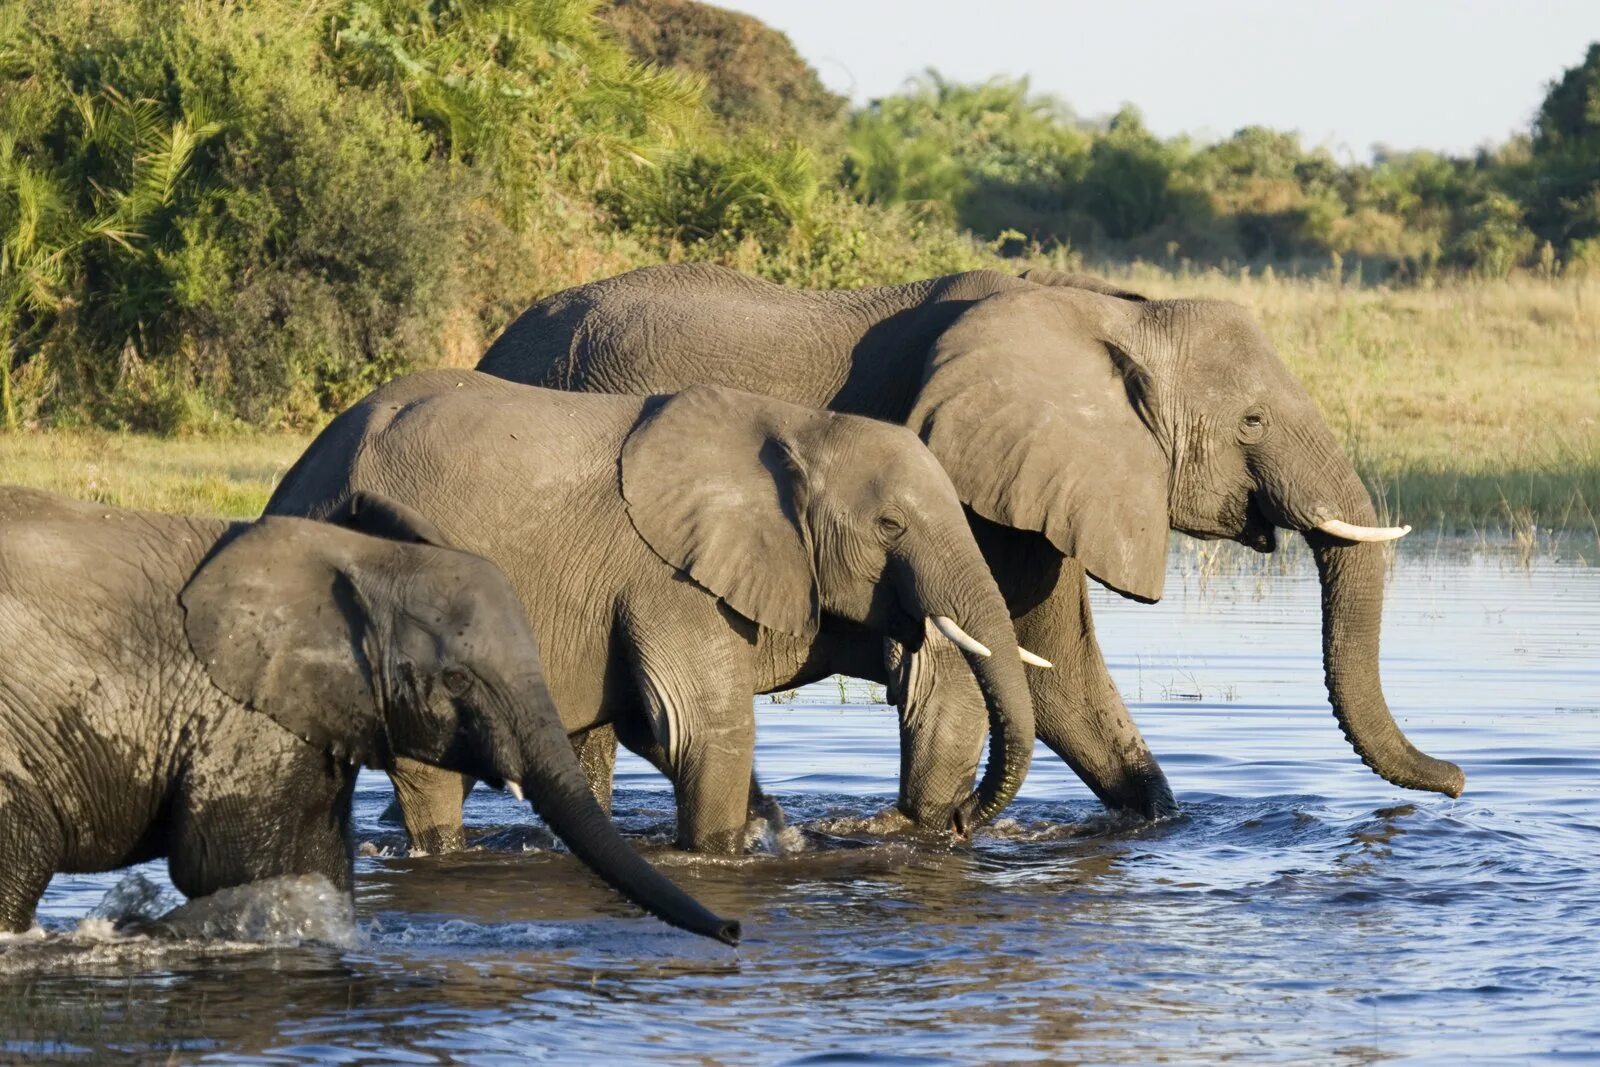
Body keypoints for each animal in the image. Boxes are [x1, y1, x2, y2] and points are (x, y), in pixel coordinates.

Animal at [0, 483, 736, 940]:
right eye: (456, 678)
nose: (732, 930)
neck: (357, 561)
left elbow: (319, 861)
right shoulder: (241, 715)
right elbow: (228, 866)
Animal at [268, 371, 1043, 857]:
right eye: (889, 526)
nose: (960, 823)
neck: (796, 426)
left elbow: (657, 729)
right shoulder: (666, 576)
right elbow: (702, 725)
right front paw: (727, 853)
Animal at [470, 262, 1465, 812]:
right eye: (1252, 421)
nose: (1458, 780)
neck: (1110, 314)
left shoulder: (1035, 492)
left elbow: (1061, 680)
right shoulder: (957, 487)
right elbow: (954, 684)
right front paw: (935, 828)